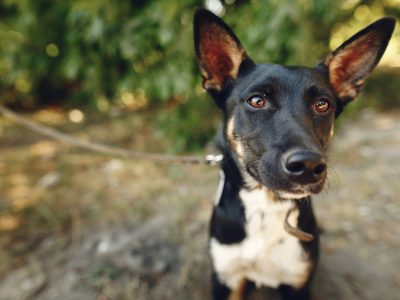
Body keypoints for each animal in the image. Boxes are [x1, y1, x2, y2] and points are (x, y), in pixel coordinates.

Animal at [193, 8, 394, 298]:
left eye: (322, 104)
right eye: (257, 100)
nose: (308, 166)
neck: (265, 208)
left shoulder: (297, 283)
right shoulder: (226, 279)